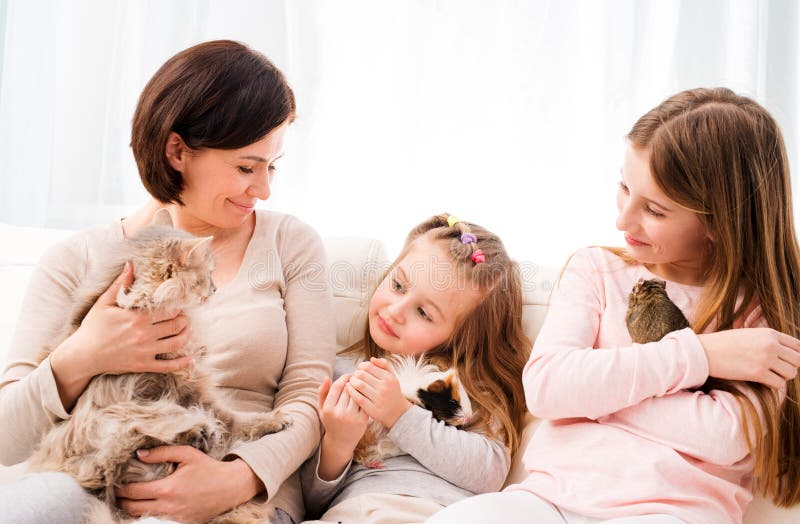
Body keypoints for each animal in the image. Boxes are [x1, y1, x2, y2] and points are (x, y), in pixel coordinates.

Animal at [28, 210, 290, 524]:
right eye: (208, 274)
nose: (215, 289)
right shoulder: (139, 396)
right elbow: (172, 416)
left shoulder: (194, 387)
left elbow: (236, 419)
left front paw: (271, 420)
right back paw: (196, 433)